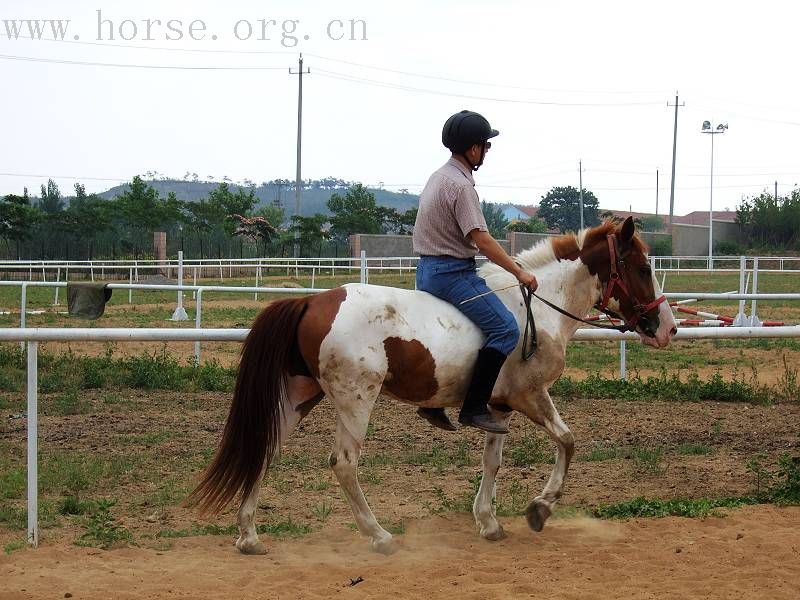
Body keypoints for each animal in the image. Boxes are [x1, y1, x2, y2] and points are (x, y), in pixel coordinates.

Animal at [188, 218, 676, 556]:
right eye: (641, 266)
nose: (666, 327)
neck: (537, 308)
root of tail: (313, 300)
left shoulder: (497, 408)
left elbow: (493, 462)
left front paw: (488, 522)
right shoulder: (529, 396)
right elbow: (568, 442)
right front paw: (540, 508)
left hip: (301, 396)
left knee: (265, 449)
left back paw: (249, 537)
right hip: (354, 400)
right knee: (344, 464)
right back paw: (379, 536)